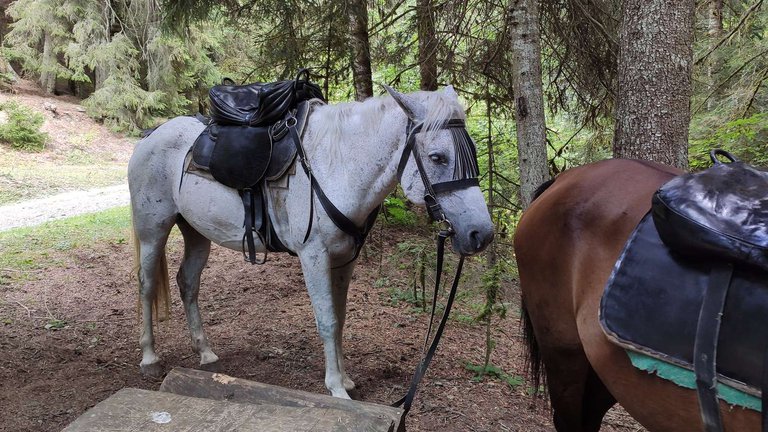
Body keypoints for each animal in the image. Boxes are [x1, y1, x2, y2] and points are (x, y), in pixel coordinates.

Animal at [129, 85, 496, 398]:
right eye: (437, 157)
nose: (481, 233)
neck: (337, 167)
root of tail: (150, 137)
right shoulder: (314, 256)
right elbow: (327, 320)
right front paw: (336, 388)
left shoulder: (344, 259)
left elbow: (340, 318)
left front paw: (345, 379)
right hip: (153, 228)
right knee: (146, 285)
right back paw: (149, 358)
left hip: (196, 232)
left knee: (188, 282)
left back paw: (205, 352)